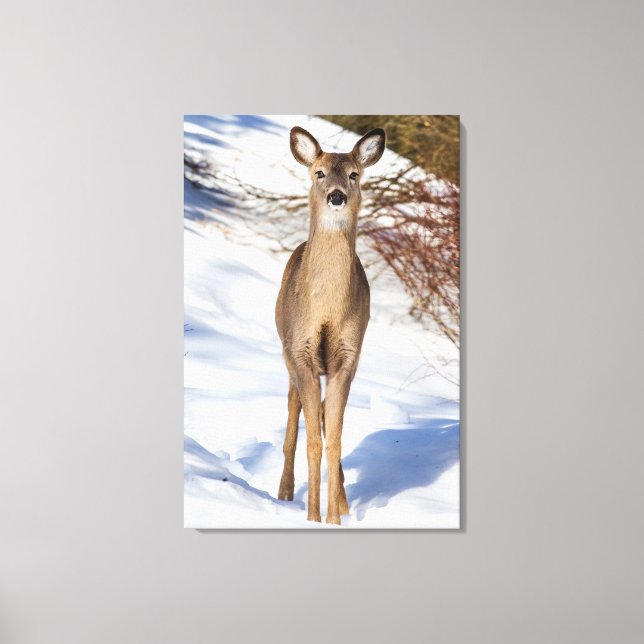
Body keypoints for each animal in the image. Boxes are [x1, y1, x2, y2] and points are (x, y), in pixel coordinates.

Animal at [275, 125, 386, 524]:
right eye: (319, 172)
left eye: (354, 174)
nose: (336, 195)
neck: (326, 311)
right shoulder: (302, 352)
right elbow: (311, 441)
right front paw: (312, 518)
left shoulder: (346, 358)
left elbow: (334, 439)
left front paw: (335, 519)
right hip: (287, 355)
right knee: (294, 418)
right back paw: (284, 493)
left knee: (323, 416)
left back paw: (342, 502)